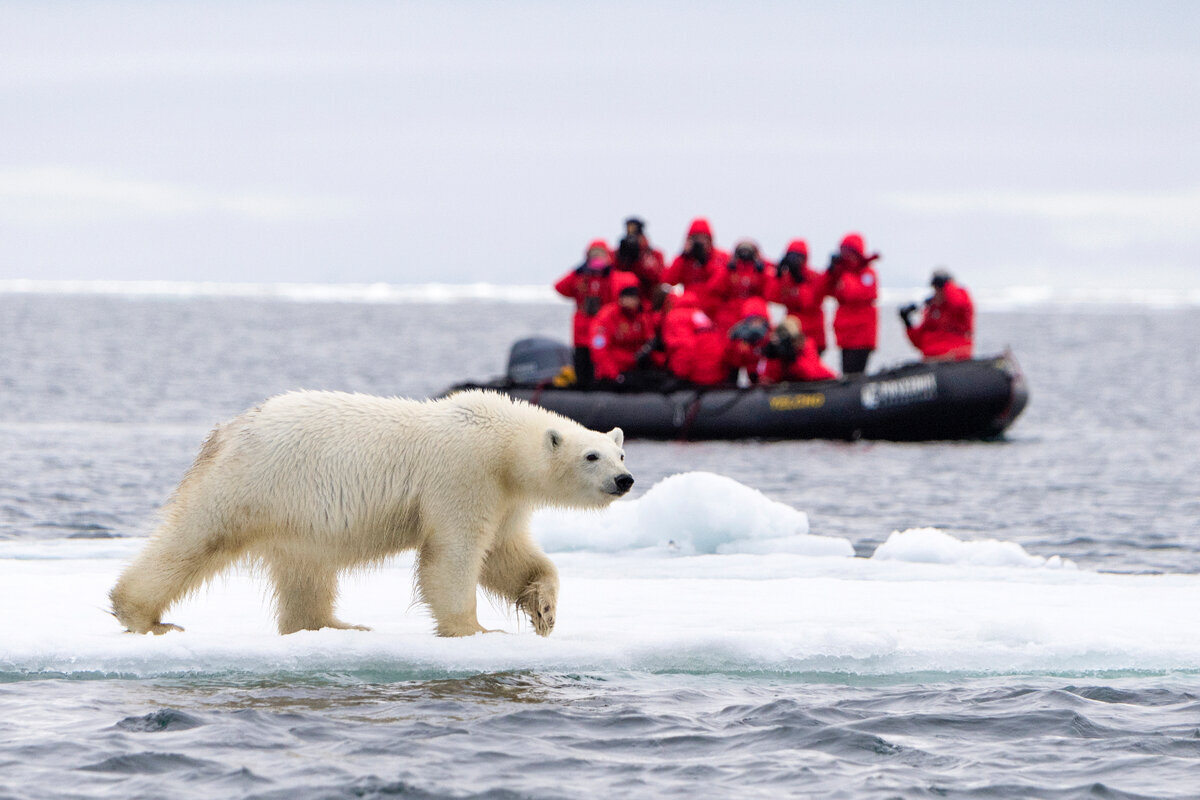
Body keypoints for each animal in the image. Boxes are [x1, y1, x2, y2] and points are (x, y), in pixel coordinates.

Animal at [111, 388, 633, 638]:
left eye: (620, 453)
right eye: (591, 456)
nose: (625, 480)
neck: (503, 443)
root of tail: (226, 431)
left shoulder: (505, 497)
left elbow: (507, 555)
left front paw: (544, 610)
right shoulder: (463, 475)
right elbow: (454, 555)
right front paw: (476, 629)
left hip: (295, 515)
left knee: (306, 571)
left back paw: (335, 625)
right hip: (253, 483)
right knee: (194, 538)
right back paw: (144, 617)